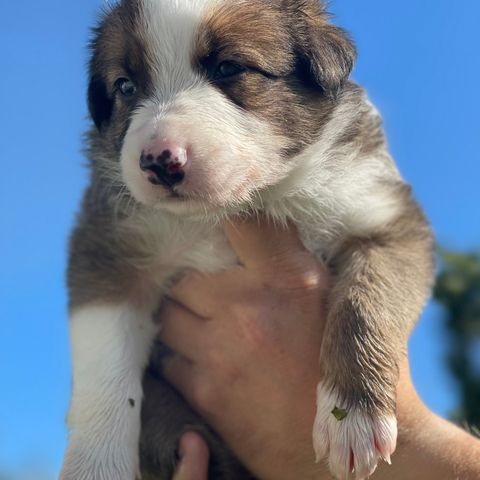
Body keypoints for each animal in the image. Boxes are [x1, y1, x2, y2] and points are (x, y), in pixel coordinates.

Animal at [59, 0, 432, 480]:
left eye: (229, 68)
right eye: (125, 85)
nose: (159, 161)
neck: (227, 211)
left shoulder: (384, 216)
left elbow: (367, 302)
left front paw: (354, 416)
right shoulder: (107, 248)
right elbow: (104, 366)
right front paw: (95, 465)